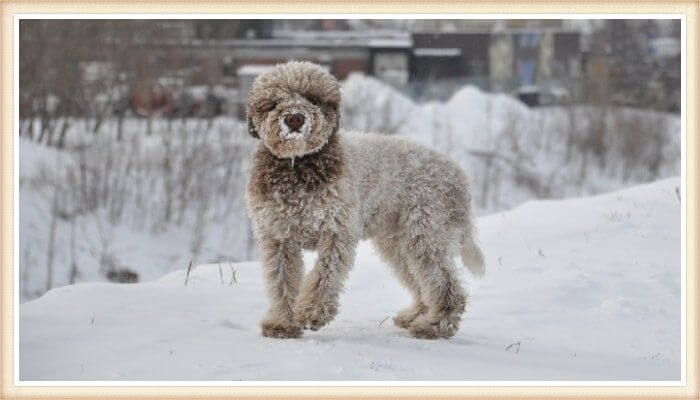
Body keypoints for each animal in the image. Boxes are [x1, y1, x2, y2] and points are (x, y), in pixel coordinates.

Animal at [243, 61, 484, 340]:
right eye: (273, 101)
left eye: (313, 99)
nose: (294, 118)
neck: (298, 167)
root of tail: (460, 176)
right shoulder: (277, 236)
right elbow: (280, 280)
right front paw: (282, 323)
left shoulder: (336, 231)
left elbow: (325, 274)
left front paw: (312, 312)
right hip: (398, 241)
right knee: (422, 283)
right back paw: (416, 316)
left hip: (425, 233)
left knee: (446, 287)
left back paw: (434, 327)